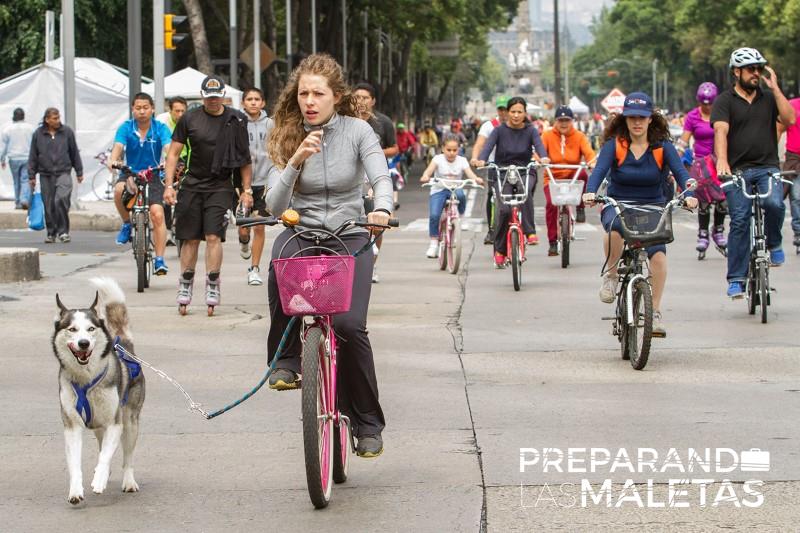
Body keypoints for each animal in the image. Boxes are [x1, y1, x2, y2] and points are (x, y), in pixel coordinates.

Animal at [52, 277, 145, 505]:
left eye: (91, 328)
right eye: (72, 329)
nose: (83, 343)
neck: (86, 379)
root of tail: (123, 343)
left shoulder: (115, 422)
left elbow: (105, 455)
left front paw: (100, 480)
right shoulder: (72, 426)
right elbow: (75, 464)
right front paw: (76, 490)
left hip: (130, 421)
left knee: (126, 457)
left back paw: (128, 481)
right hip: (97, 425)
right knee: (103, 443)